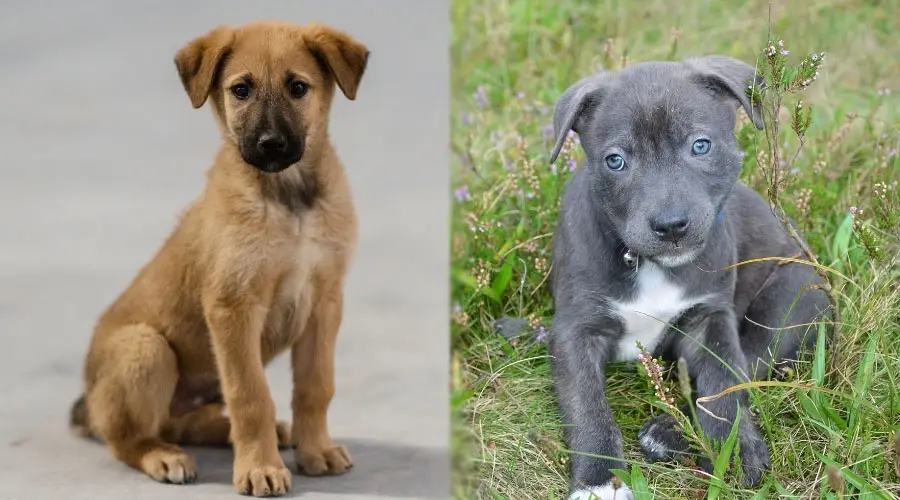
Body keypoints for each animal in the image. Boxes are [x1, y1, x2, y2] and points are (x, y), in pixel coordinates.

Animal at [67, 19, 370, 496]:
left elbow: (315, 385)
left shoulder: (324, 301)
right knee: (129, 438)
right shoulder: (233, 306)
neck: (288, 201)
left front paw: (315, 450)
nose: (270, 144)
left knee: (181, 422)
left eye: (298, 87)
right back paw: (163, 456)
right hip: (146, 347)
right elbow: (251, 396)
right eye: (241, 89)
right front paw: (260, 468)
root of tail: (89, 404)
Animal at [540, 55, 828, 500]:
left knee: (751, 365)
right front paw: (600, 480)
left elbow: (724, 381)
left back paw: (668, 432)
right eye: (615, 160)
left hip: (793, 297)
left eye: (701, 146)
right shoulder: (575, 330)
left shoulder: (709, 319)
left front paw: (733, 450)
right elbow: (587, 405)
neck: (650, 264)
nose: (671, 225)